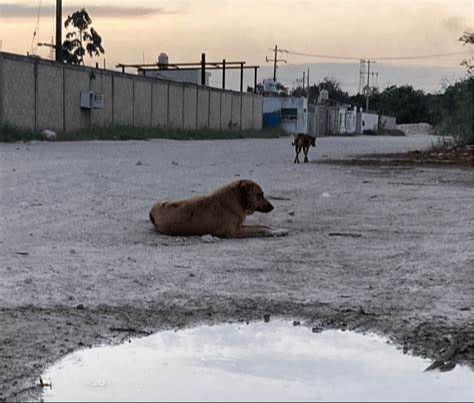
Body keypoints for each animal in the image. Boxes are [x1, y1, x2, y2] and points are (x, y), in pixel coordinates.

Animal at [149, 181, 288, 240]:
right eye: (260, 194)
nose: (272, 207)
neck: (236, 199)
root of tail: (152, 211)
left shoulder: (239, 225)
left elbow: (264, 225)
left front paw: (279, 229)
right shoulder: (235, 231)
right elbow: (260, 228)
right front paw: (277, 231)